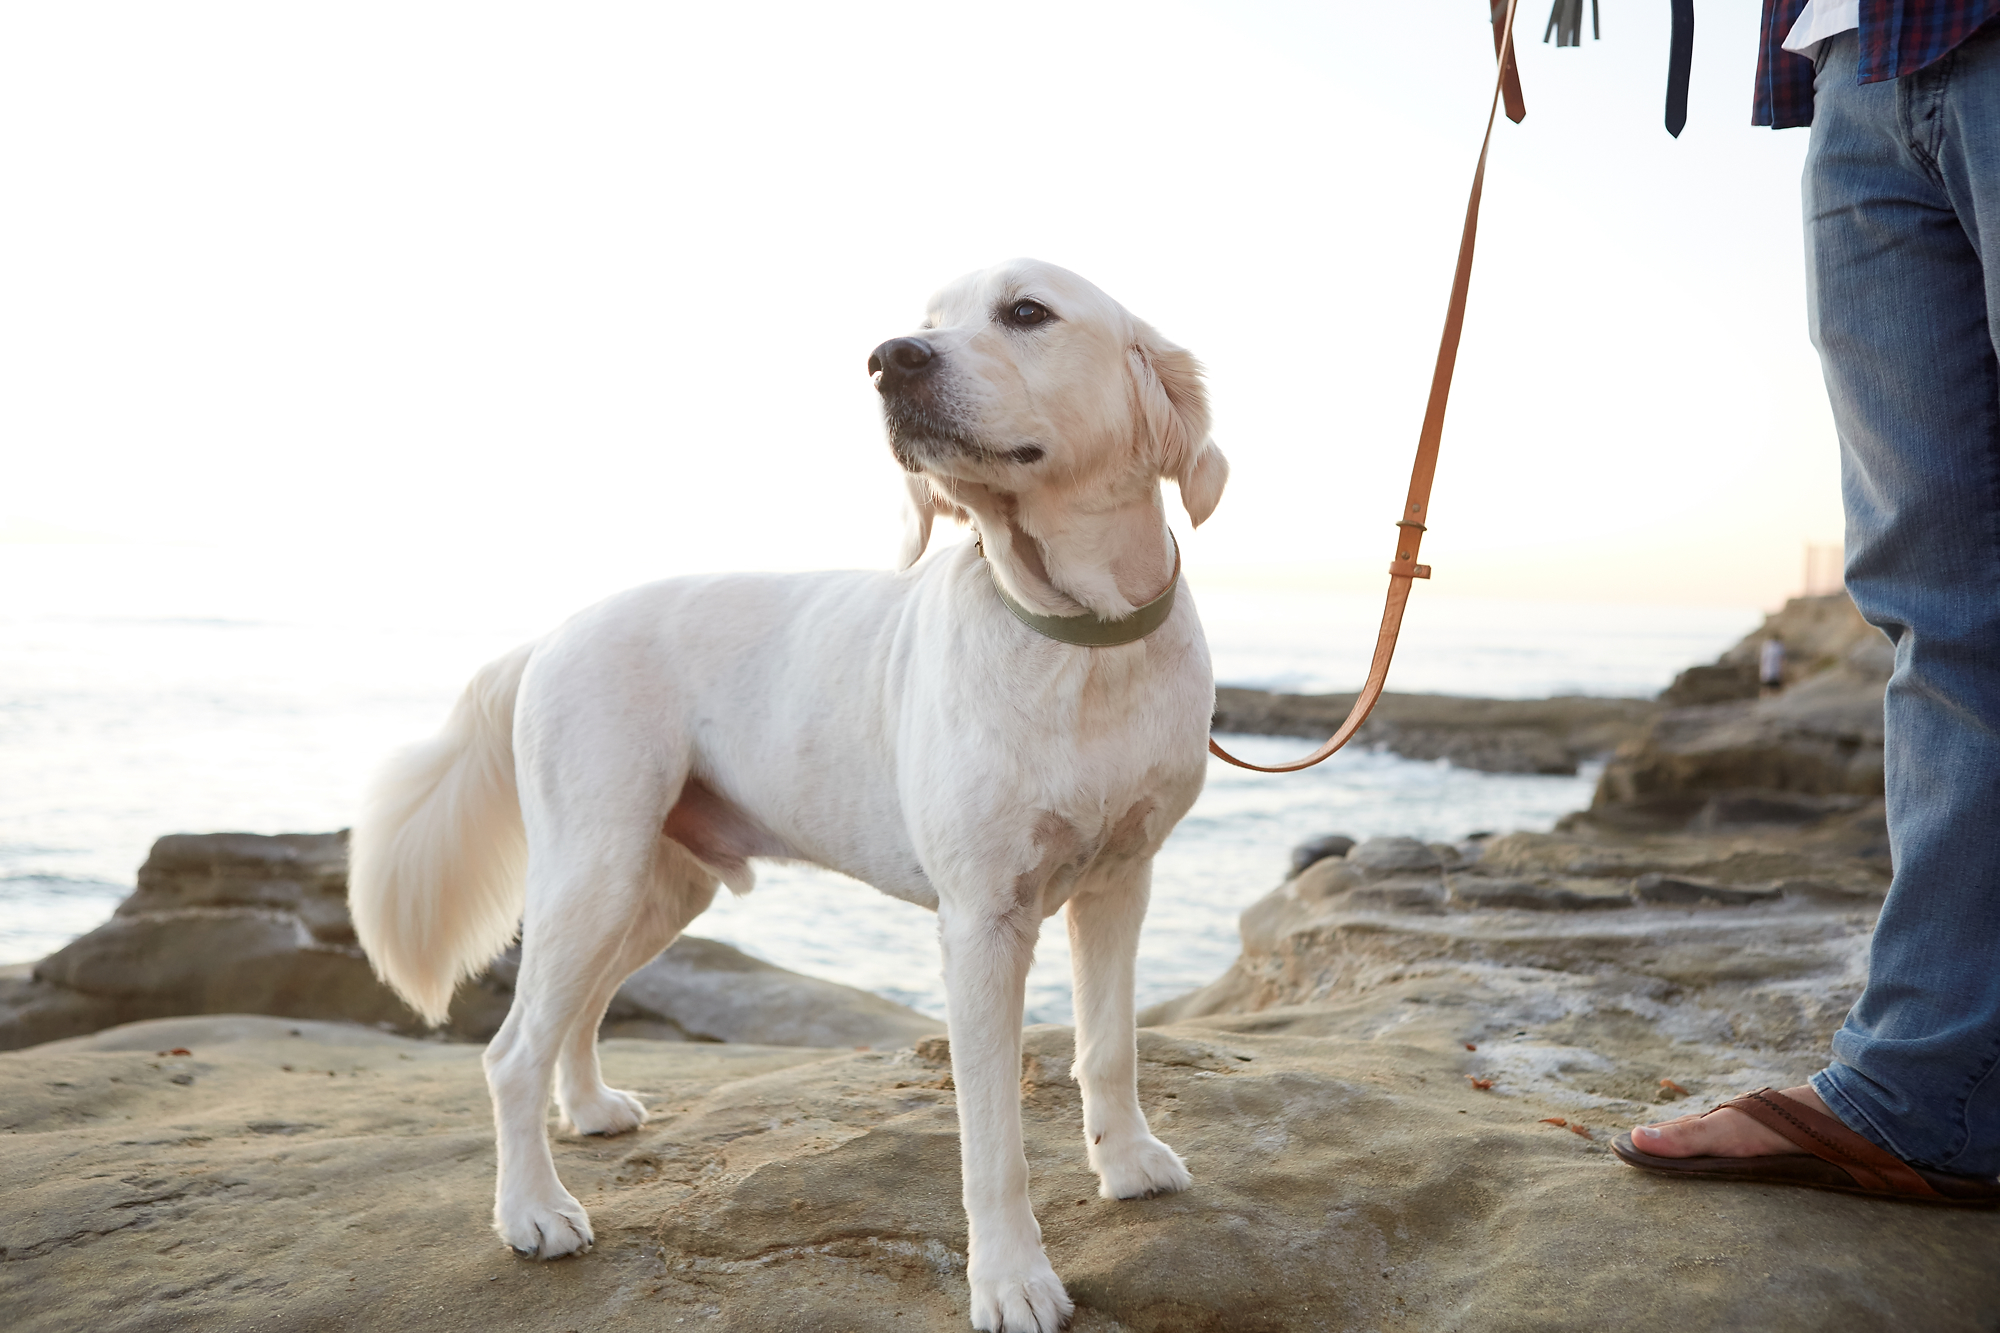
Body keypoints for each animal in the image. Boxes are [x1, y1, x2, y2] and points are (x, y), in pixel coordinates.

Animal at [356, 260, 1232, 1328]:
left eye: (1028, 311)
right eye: (927, 321)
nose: (890, 358)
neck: (1080, 637)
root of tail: (554, 632)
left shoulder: (1120, 882)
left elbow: (1110, 1045)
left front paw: (1131, 1161)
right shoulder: (984, 922)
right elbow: (993, 1140)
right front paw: (1012, 1278)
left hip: (655, 885)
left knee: (576, 1010)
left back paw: (591, 1110)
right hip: (593, 870)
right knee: (512, 1047)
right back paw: (533, 1210)